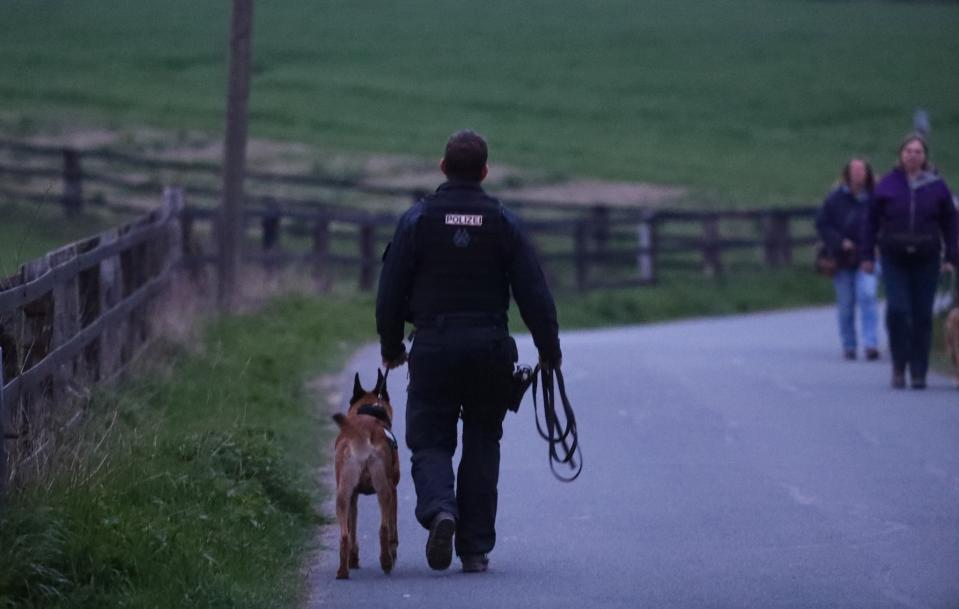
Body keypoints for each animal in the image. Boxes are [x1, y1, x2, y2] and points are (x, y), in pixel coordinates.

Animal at [332, 368, 400, 576]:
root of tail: (360, 434)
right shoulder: (394, 490)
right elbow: (393, 529)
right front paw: (393, 552)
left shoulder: (353, 496)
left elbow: (352, 528)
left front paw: (353, 559)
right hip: (384, 492)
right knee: (384, 528)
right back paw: (386, 562)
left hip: (342, 495)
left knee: (344, 535)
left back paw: (343, 571)